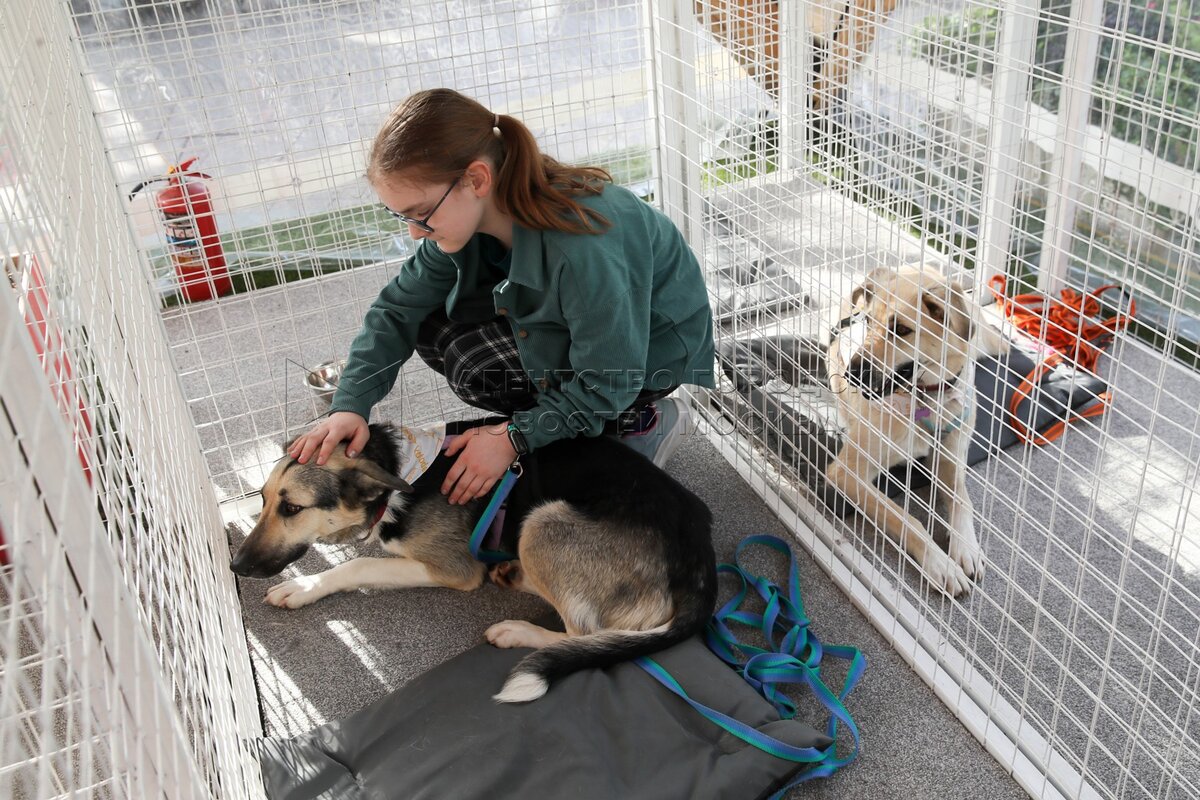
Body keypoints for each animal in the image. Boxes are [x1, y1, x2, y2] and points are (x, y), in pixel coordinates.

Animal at [230, 418, 717, 703]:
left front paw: (302, 586)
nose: (235, 567)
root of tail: (700, 557)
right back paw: (510, 573)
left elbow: (359, 565)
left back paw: (518, 630)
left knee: (584, 633)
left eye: (292, 508)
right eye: (263, 500)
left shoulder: (455, 568)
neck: (397, 470)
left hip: (543, 520)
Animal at [825, 265, 1004, 596]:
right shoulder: (846, 472)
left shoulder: (950, 459)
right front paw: (941, 563)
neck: (927, 399)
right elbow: (906, 519)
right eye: (868, 322)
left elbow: (963, 501)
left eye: (902, 330)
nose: (851, 373)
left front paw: (966, 547)